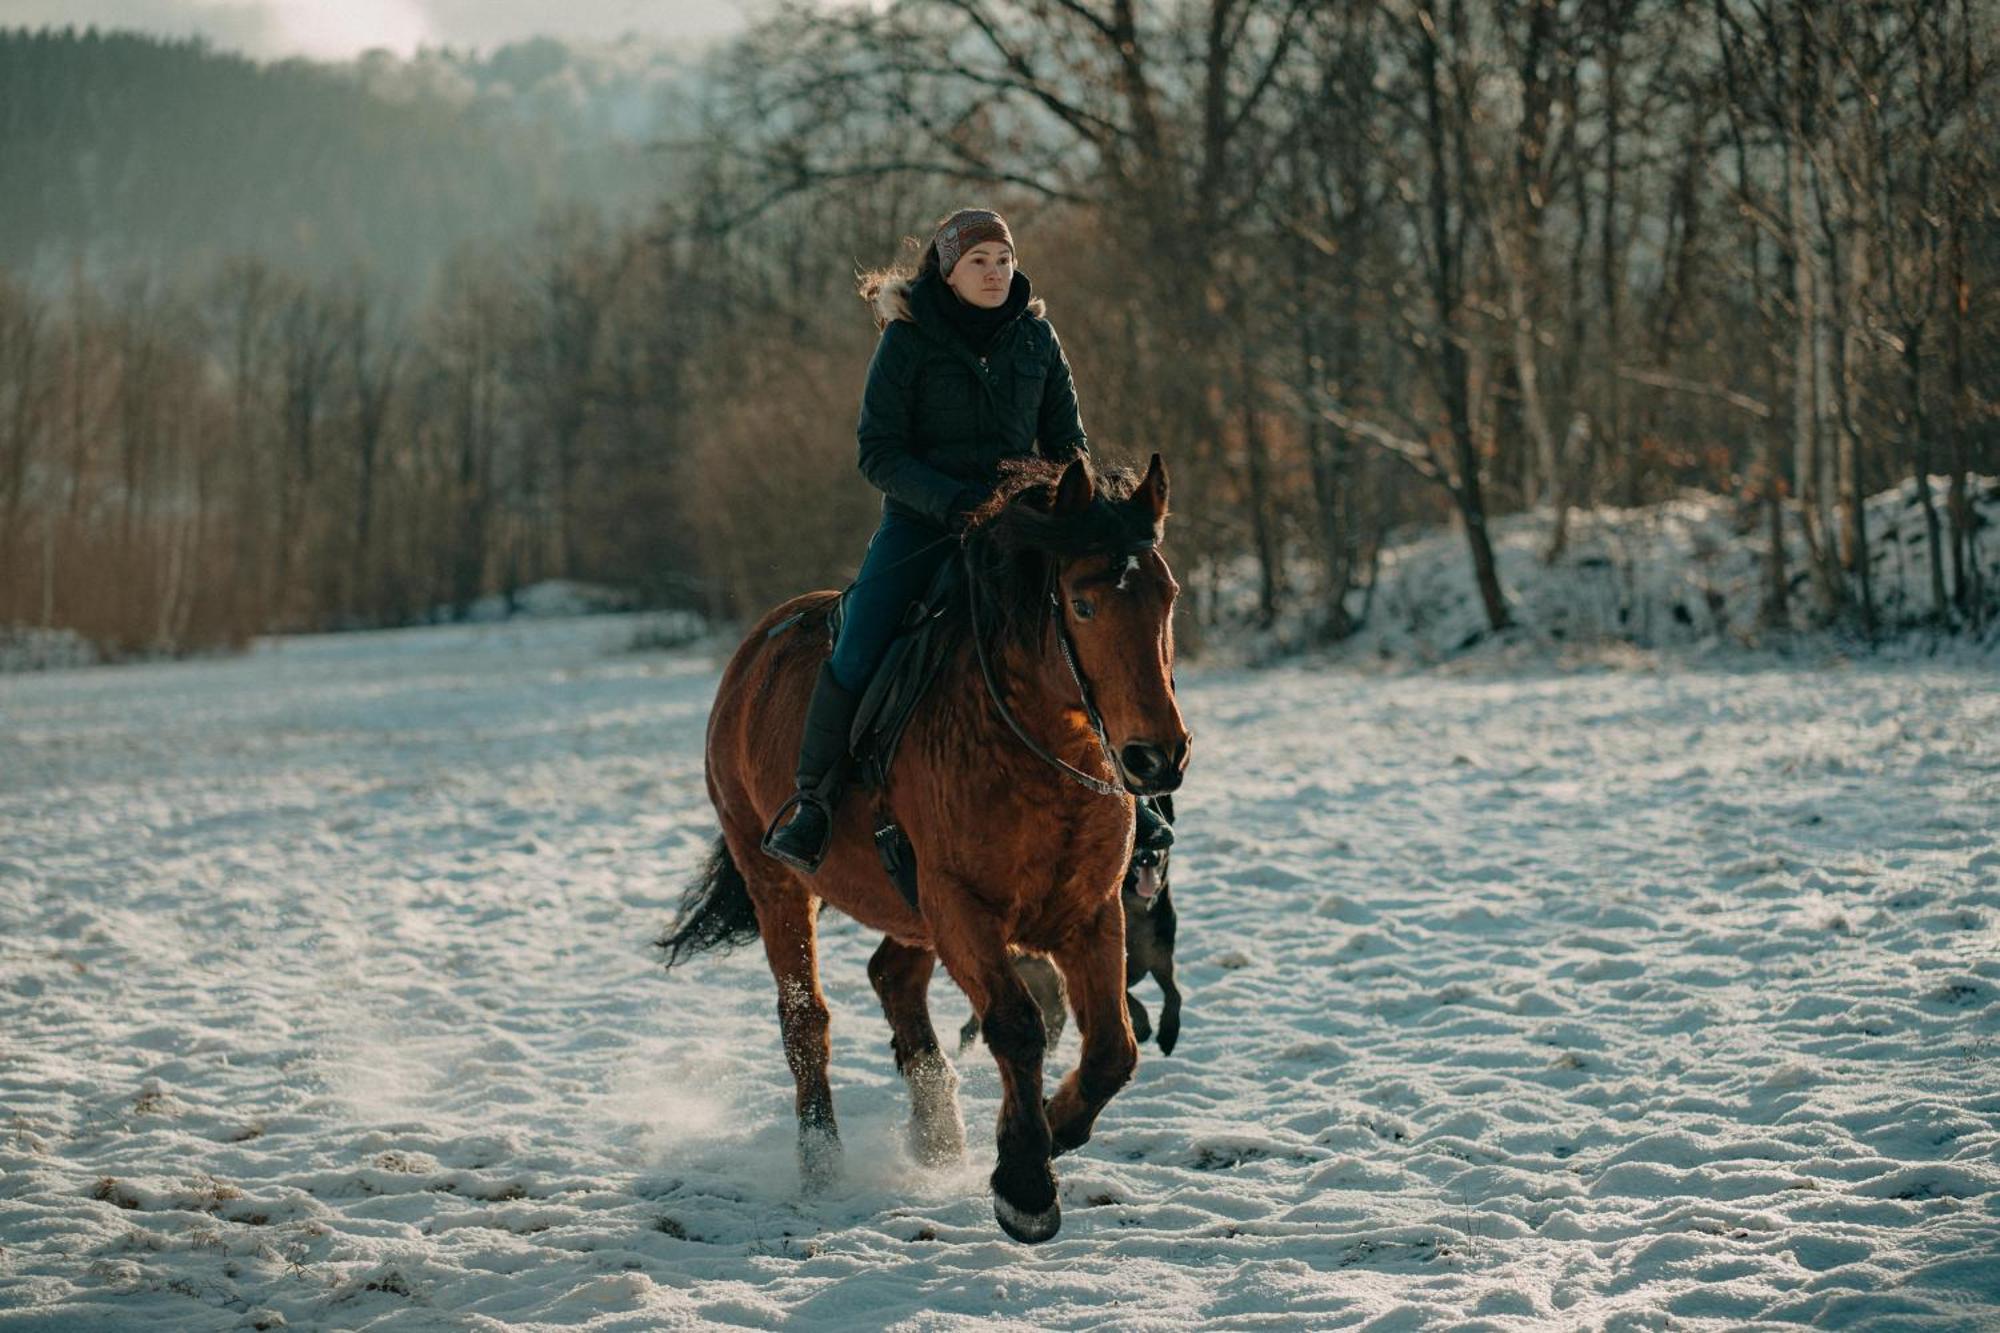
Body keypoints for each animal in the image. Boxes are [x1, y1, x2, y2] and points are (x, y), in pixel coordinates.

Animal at [664, 452, 1176, 1240]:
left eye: (1167, 597)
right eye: (1083, 604)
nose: (1158, 757)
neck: (1035, 751)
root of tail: (754, 651)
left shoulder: (1089, 913)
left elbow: (1112, 1051)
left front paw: (1052, 1131)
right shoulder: (962, 907)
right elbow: (1016, 1026)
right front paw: (1026, 1184)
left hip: (910, 908)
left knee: (892, 978)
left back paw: (938, 1133)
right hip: (776, 879)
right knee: (805, 1017)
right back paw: (824, 1162)